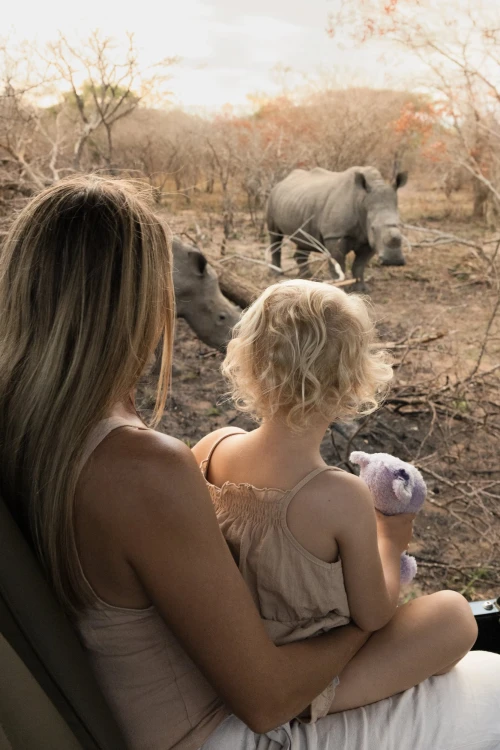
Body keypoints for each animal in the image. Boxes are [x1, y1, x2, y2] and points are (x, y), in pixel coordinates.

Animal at [267, 166, 408, 289]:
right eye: (373, 228)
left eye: (400, 225)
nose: (393, 261)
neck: (362, 201)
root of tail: (281, 181)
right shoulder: (334, 235)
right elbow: (338, 263)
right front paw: (339, 288)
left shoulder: (368, 239)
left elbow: (359, 265)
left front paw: (361, 289)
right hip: (272, 197)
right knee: (275, 236)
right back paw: (277, 274)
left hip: (300, 204)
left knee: (304, 241)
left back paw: (306, 277)